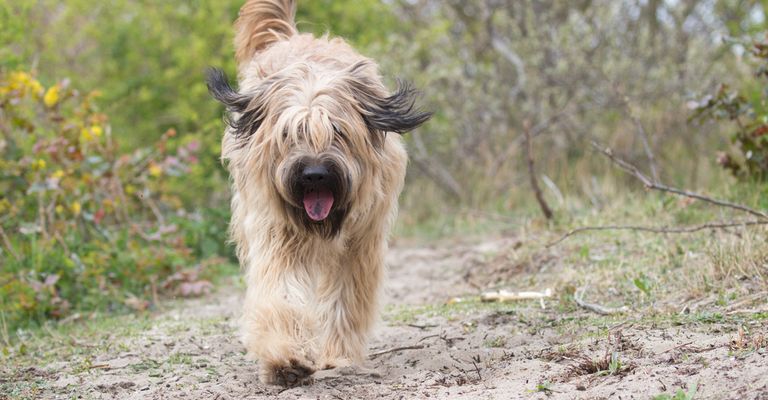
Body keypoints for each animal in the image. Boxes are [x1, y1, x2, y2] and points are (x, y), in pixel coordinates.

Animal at [207, 0, 428, 388]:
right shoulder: (277, 233)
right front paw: (286, 357)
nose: (314, 175)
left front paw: (337, 356)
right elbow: (280, 291)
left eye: (338, 131)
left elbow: (345, 299)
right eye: (288, 134)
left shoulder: (360, 243)